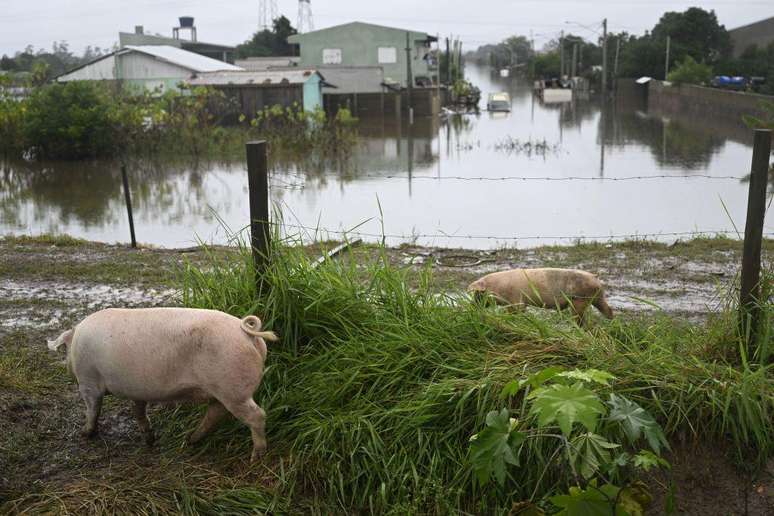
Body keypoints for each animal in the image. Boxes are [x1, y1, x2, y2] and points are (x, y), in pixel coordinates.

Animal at [47, 308, 278, 462]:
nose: (66, 367)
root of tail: (247, 334)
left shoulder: (88, 381)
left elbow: (92, 408)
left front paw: (85, 434)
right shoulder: (137, 389)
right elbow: (138, 411)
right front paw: (150, 440)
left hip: (233, 389)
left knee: (257, 415)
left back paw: (256, 457)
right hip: (223, 390)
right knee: (216, 412)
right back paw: (190, 440)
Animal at [470, 268, 616, 324]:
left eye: (479, 293)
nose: (472, 306)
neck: (498, 287)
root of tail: (594, 276)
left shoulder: (517, 300)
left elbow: (516, 312)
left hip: (579, 300)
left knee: (579, 318)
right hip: (597, 297)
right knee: (608, 310)